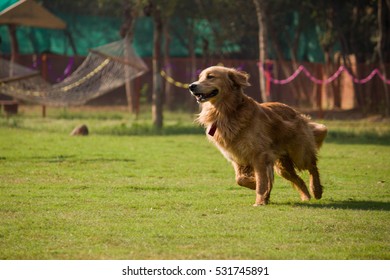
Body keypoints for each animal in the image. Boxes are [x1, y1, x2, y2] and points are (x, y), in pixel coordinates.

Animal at [188, 65, 326, 206]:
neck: (228, 112)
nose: (191, 86)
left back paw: (316, 190)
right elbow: (240, 179)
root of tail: (296, 112)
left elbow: (261, 180)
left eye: (210, 76)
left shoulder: (259, 155)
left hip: (299, 154)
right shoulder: (237, 157)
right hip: (283, 167)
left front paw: (260, 200)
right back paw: (306, 196)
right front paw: (259, 188)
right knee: (298, 179)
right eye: (200, 77)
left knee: (312, 166)